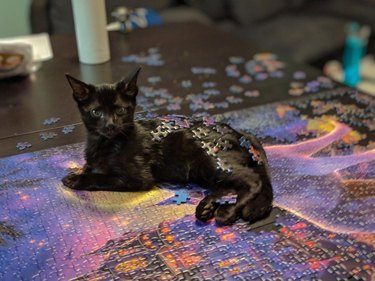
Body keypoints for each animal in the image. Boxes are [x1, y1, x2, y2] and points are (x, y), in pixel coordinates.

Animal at [62, 69, 274, 224]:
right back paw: (208, 206)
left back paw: (227, 211)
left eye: (121, 110)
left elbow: (103, 178)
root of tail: (242, 135)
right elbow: (89, 166)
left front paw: (76, 179)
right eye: (96, 112)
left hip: (210, 159)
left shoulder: (139, 178)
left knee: (253, 180)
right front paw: (78, 171)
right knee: (231, 185)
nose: (110, 125)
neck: (105, 143)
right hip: (206, 171)